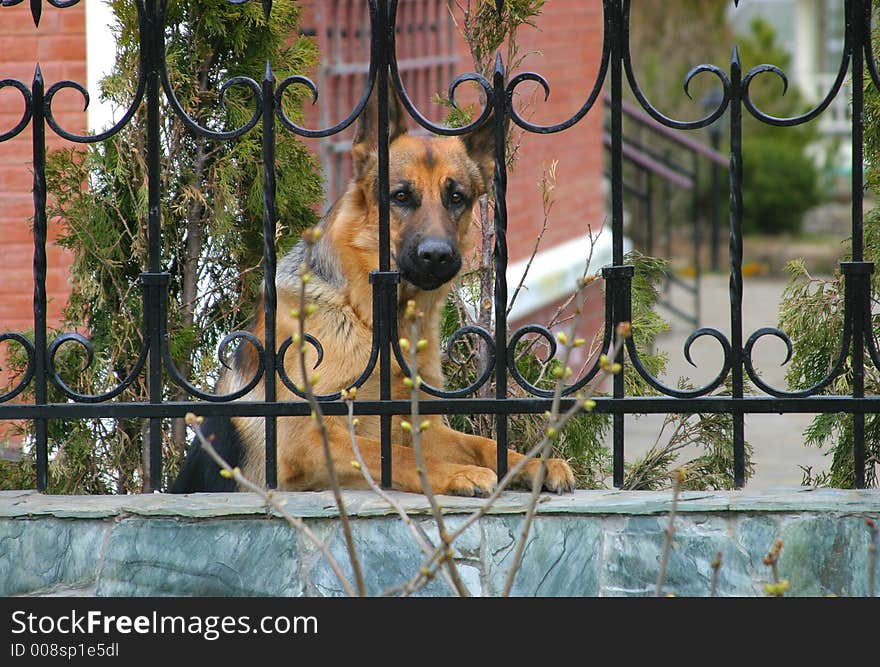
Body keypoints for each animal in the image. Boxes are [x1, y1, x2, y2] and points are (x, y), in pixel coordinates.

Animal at [170, 83, 576, 496]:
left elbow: (482, 443)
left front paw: (532, 463)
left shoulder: (418, 423)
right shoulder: (308, 439)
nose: (437, 256)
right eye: (401, 197)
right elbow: (392, 454)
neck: (366, 315)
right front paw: (458, 473)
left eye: (456, 197)